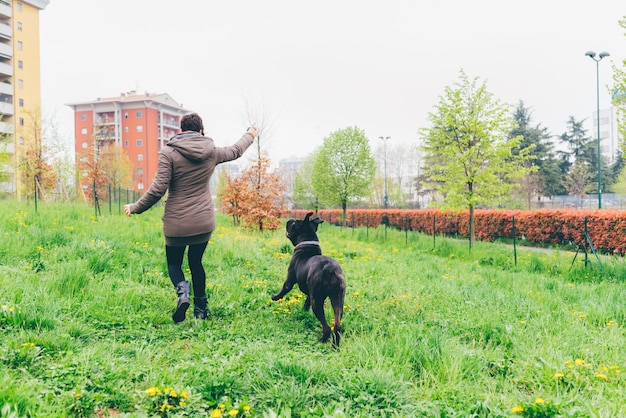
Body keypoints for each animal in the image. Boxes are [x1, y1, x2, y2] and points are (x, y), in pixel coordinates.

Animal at [270, 212, 344, 346]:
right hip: (338, 300)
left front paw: (274, 297)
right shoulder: (310, 293)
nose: (290, 219)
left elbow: (283, 290)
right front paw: (303, 311)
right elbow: (306, 302)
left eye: (295, 223)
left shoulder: (289, 281)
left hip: (318, 302)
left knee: (327, 327)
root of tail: (330, 269)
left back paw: (322, 340)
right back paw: (335, 346)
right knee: (337, 325)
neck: (307, 244)